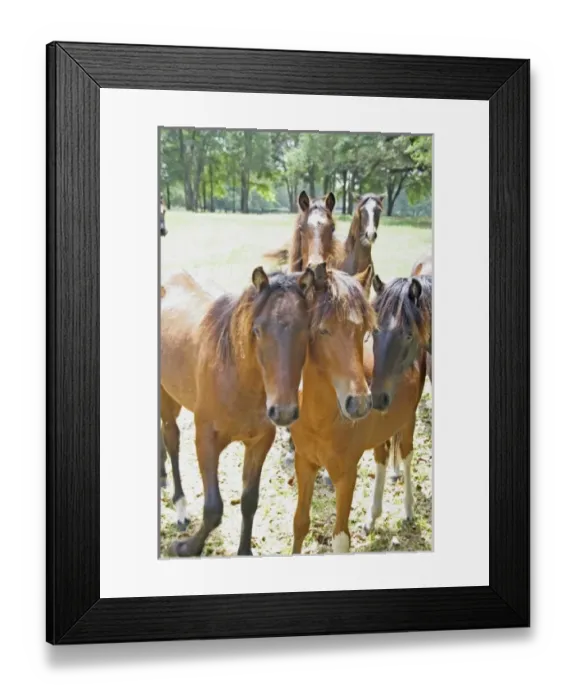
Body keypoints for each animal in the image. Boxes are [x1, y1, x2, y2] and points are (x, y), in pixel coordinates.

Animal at [160, 264, 318, 555]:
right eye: (257, 330)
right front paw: (186, 547)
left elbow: (249, 502)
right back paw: (180, 505)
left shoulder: (259, 443)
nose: (284, 412)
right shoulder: (206, 440)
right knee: (171, 439)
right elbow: (213, 509)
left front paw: (244, 551)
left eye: (306, 331)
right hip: (167, 398)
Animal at [288, 264, 428, 554]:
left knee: (406, 456)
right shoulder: (304, 463)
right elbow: (300, 524)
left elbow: (341, 540)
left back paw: (408, 510)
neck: (321, 420)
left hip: (408, 420)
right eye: (322, 330)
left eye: (363, 329)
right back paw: (372, 517)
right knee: (382, 458)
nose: (361, 403)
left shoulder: (346, 474)